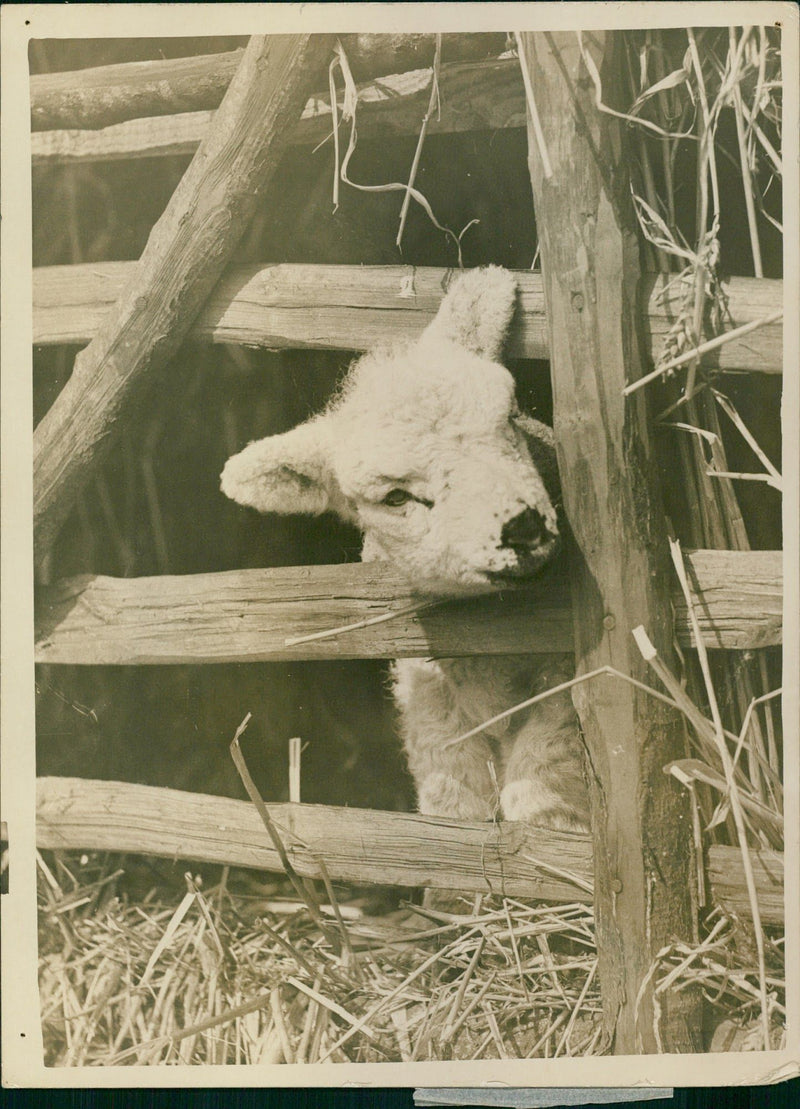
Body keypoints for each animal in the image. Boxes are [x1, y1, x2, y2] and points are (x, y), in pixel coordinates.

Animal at [221, 267, 587, 831]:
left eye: (510, 418)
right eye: (395, 497)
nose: (523, 527)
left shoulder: (563, 690)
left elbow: (541, 791)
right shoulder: (430, 701)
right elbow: (454, 803)